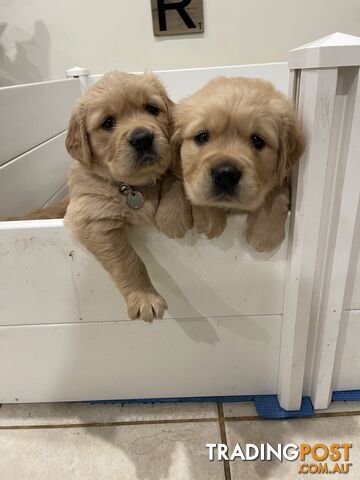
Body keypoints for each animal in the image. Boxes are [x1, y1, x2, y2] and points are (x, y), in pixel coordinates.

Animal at [65, 72, 194, 322]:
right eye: (107, 123)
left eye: (152, 108)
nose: (143, 138)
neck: (134, 187)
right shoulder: (94, 218)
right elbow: (128, 261)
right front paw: (145, 299)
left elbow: (174, 178)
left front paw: (171, 218)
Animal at [174, 76, 304, 251]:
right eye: (201, 136)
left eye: (257, 140)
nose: (225, 175)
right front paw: (210, 218)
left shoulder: (281, 177)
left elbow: (276, 190)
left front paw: (265, 233)